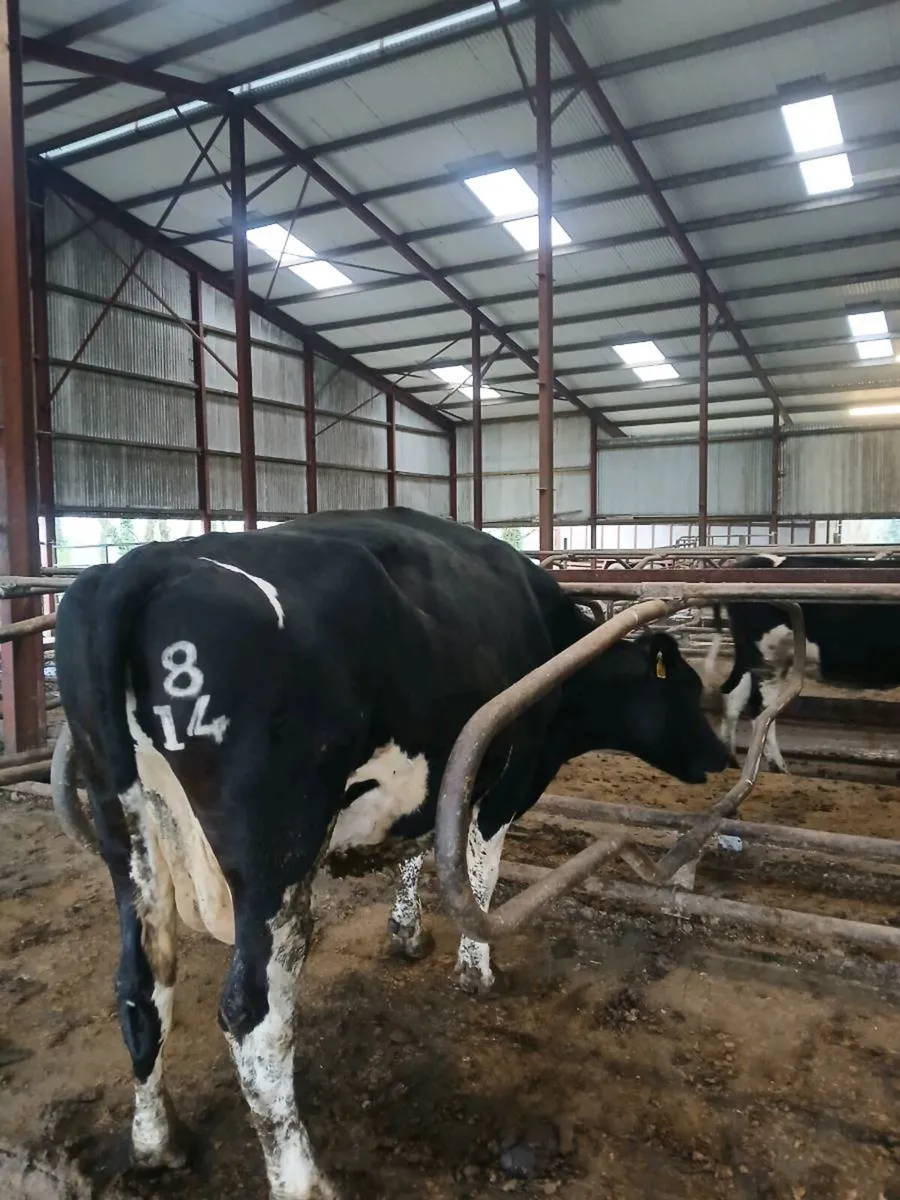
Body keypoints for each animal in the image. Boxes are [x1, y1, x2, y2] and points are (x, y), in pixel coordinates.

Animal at [51, 506, 731, 1200]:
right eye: (683, 690)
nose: (723, 757)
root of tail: (140, 566)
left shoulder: (427, 782)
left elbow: (415, 853)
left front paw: (407, 932)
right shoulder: (503, 784)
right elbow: (479, 879)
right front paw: (477, 969)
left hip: (125, 834)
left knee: (141, 984)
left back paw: (156, 1143)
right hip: (277, 853)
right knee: (252, 1015)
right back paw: (303, 1179)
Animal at [705, 552, 900, 772]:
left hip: (754, 656)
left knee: (734, 695)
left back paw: (732, 760)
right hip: (768, 656)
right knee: (760, 708)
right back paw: (779, 768)